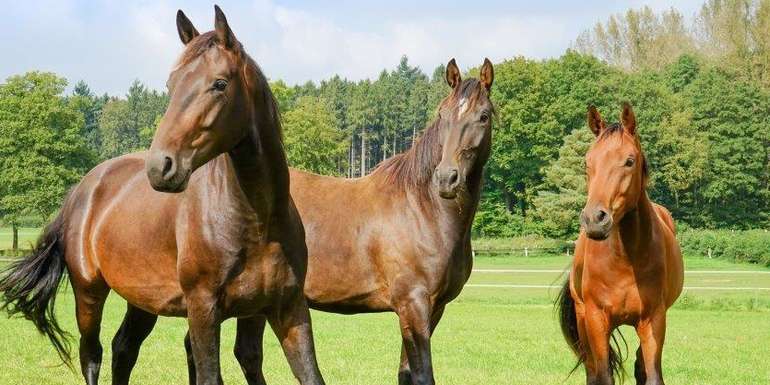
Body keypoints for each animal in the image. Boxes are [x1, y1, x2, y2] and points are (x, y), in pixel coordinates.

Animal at [0, 6, 324, 384]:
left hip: (143, 300)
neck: (256, 220)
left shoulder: (287, 309)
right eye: (171, 85)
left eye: (220, 83)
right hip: (88, 292)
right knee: (91, 354)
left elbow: (304, 373)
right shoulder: (203, 310)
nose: (161, 167)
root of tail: (81, 190)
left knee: (123, 348)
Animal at [556, 103, 680, 384]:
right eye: (587, 162)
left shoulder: (654, 319)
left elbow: (651, 374)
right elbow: (602, 374)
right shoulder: (596, 319)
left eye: (629, 161)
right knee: (592, 369)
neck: (625, 259)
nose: (594, 219)